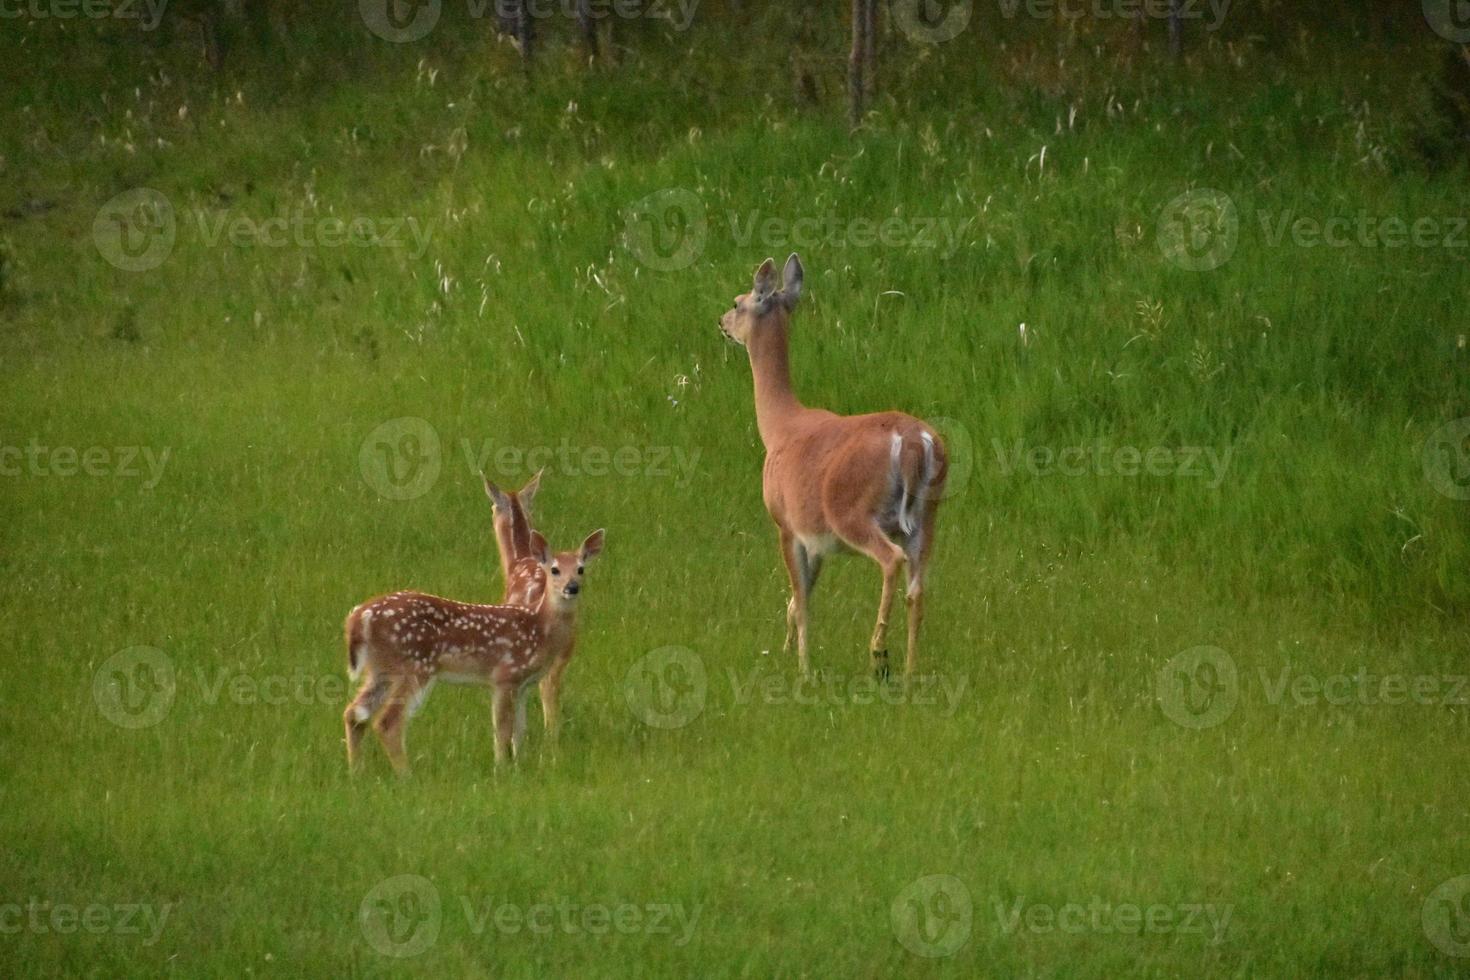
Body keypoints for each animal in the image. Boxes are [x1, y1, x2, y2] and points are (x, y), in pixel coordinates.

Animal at [342, 525, 605, 773]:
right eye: (554, 569)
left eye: (581, 569)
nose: (572, 587)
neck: (539, 628)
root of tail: (360, 616)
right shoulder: (504, 676)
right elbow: (502, 728)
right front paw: (501, 768)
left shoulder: (523, 684)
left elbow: (520, 729)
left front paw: (520, 765)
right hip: (414, 665)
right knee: (387, 721)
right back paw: (406, 775)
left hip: (380, 669)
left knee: (354, 714)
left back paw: (356, 771)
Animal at [718, 253, 947, 681]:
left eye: (738, 302)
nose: (721, 322)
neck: (779, 428)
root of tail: (914, 443)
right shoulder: (817, 540)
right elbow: (799, 599)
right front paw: (789, 653)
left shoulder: (787, 523)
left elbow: (801, 602)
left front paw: (803, 668)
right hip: (927, 516)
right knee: (918, 589)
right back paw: (910, 672)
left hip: (852, 511)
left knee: (891, 559)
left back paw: (879, 653)